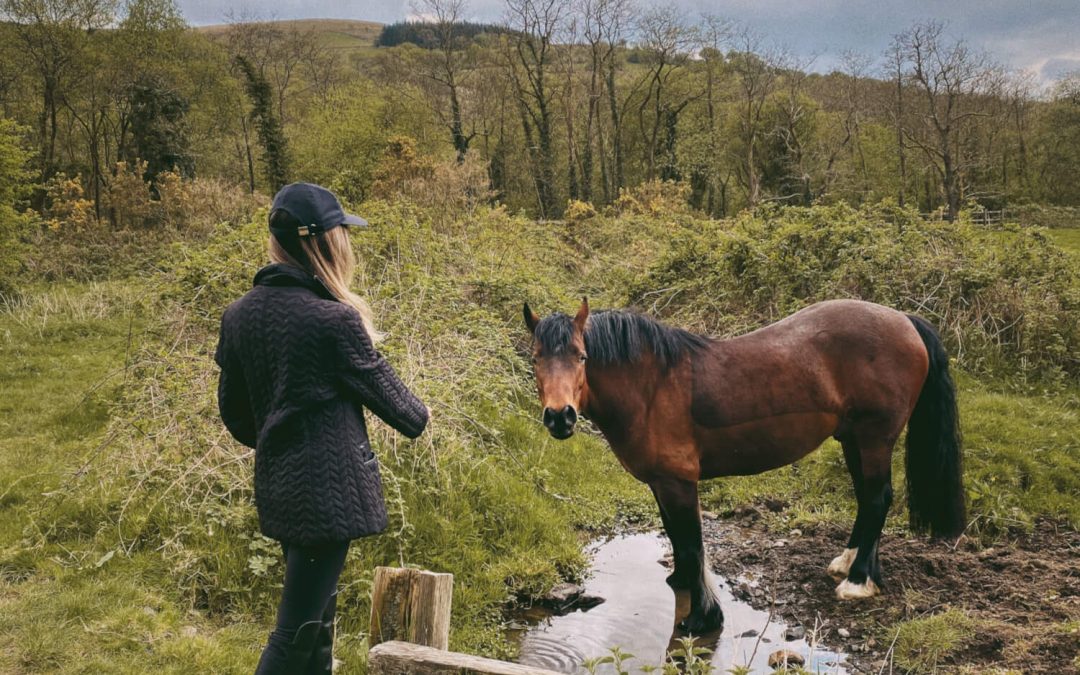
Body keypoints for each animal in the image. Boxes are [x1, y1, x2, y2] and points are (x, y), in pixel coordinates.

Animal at [522, 298, 963, 635]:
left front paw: (702, 618)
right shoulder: (661, 484)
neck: (652, 386)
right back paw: (852, 564)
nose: (560, 417)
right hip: (853, 437)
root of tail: (904, 319)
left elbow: (692, 544)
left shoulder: (679, 483)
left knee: (877, 499)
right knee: (869, 498)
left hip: (874, 437)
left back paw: (857, 583)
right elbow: (676, 538)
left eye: (582, 357)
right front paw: (680, 583)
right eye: (536, 359)